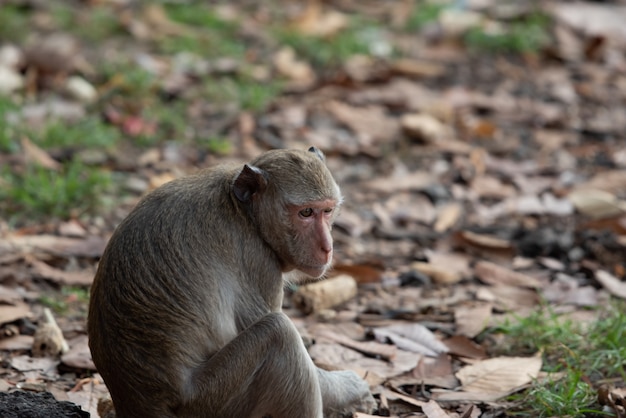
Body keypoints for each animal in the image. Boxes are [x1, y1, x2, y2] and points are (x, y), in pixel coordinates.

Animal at [85, 148, 372, 418]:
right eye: (306, 212)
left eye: (328, 211)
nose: (327, 247)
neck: (247, 214)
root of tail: (137, 405)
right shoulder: (258, 261)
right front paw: (351, 388)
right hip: (210, 402)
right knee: (280, 332)